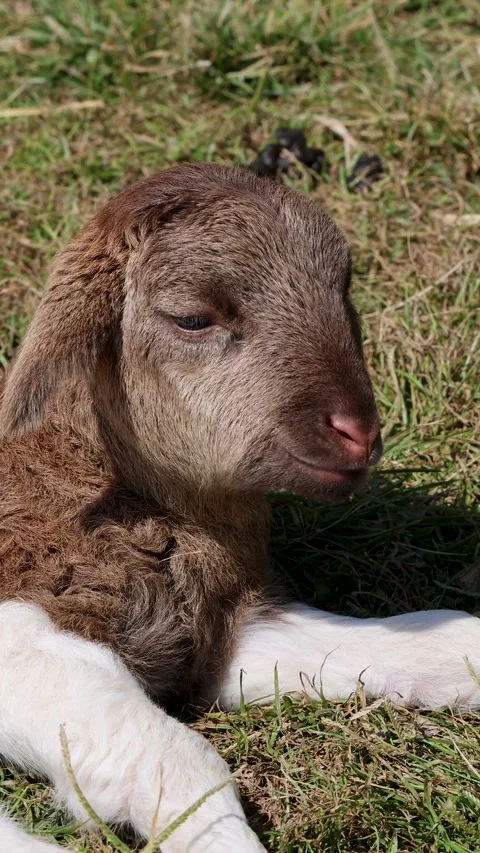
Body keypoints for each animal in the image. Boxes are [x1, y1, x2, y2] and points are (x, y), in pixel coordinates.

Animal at [1, 163, 479, 852]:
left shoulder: (229, 634)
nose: (357, 430)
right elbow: (168, 758)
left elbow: (417, 638)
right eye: (192, 318)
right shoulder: (29, 621)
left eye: (345, 290)